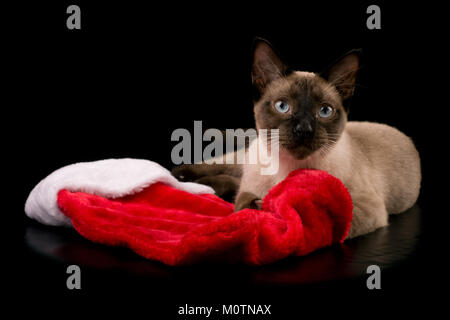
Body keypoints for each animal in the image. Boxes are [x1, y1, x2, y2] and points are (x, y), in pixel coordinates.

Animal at [172, 38, 422, 238]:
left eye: (324, 111)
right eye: (282, 106)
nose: (304, 129)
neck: (285, 169)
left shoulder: (367, 208)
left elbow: (310, 222)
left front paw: (275, 212)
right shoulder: (248, 190)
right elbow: (242, 203)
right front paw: (261, 207)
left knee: (232, 180)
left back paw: (208, 186)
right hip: (244, 160)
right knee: (225, 166)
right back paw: (183, 176)